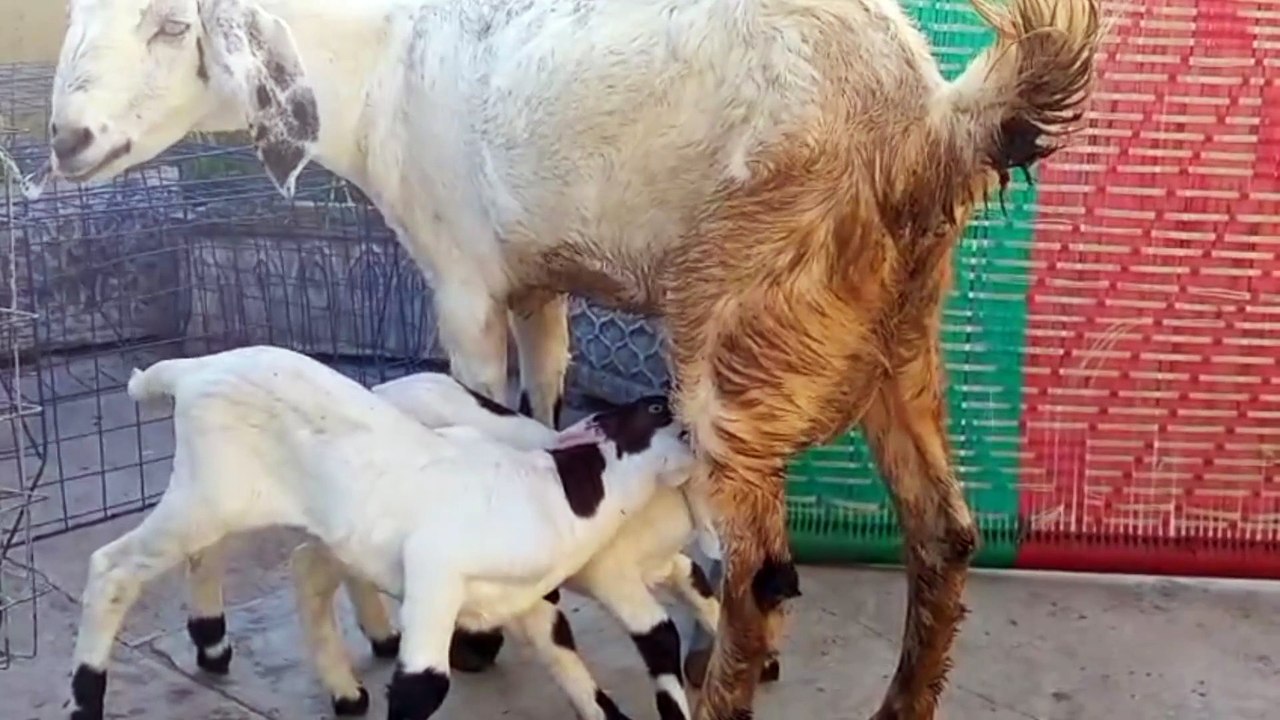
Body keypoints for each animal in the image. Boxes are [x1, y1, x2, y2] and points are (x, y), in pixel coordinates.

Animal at [67, 345, 693, 720]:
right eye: (657, 407)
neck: (563, 490)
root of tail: (193, 369)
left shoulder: (525, 601)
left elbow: (576, 669)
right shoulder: (437, 569)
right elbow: (423, 685)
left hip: (230, 499)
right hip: (208, 494)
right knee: (113, 569)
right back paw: (90, 695)